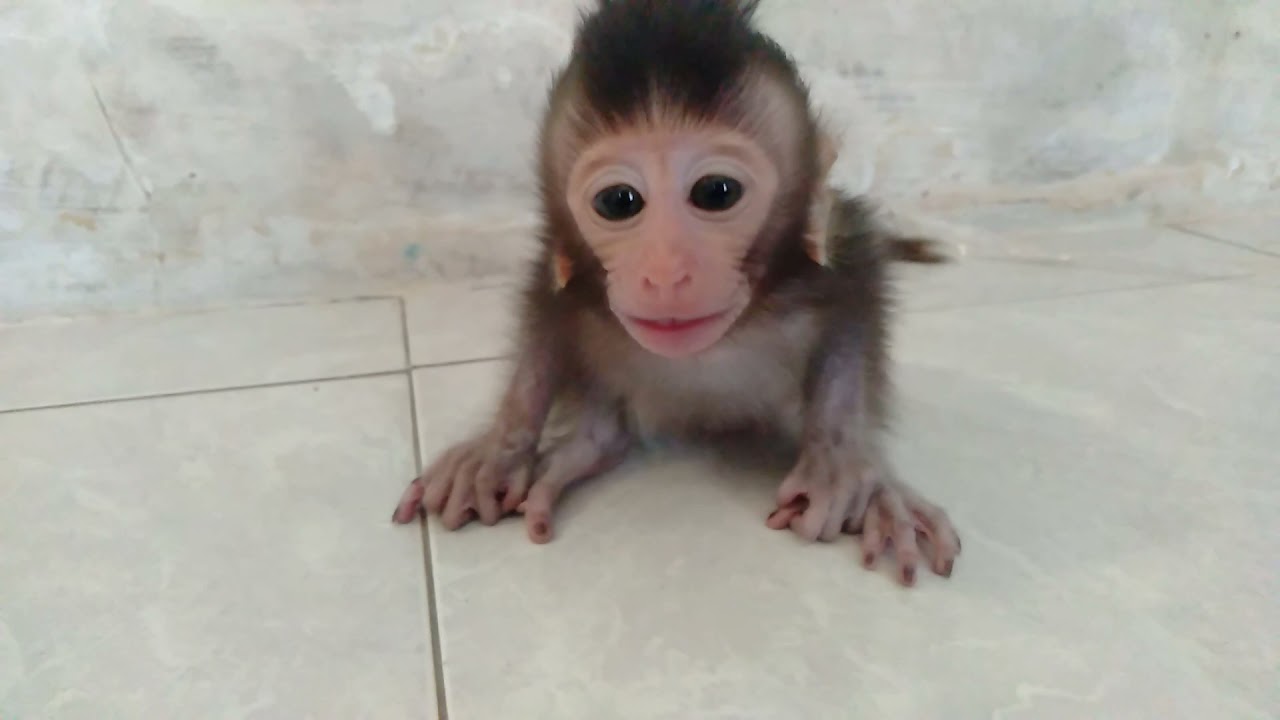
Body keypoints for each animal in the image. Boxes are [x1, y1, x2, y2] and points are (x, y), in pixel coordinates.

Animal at [392, 0, 961, 587]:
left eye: (716, 192)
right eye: (619, 201)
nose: (665, 273)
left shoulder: (833, 244)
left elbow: (856, 300)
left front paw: (837, 460)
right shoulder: (565, 268)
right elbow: (546, 319)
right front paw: (500, 448)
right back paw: (586, 448)